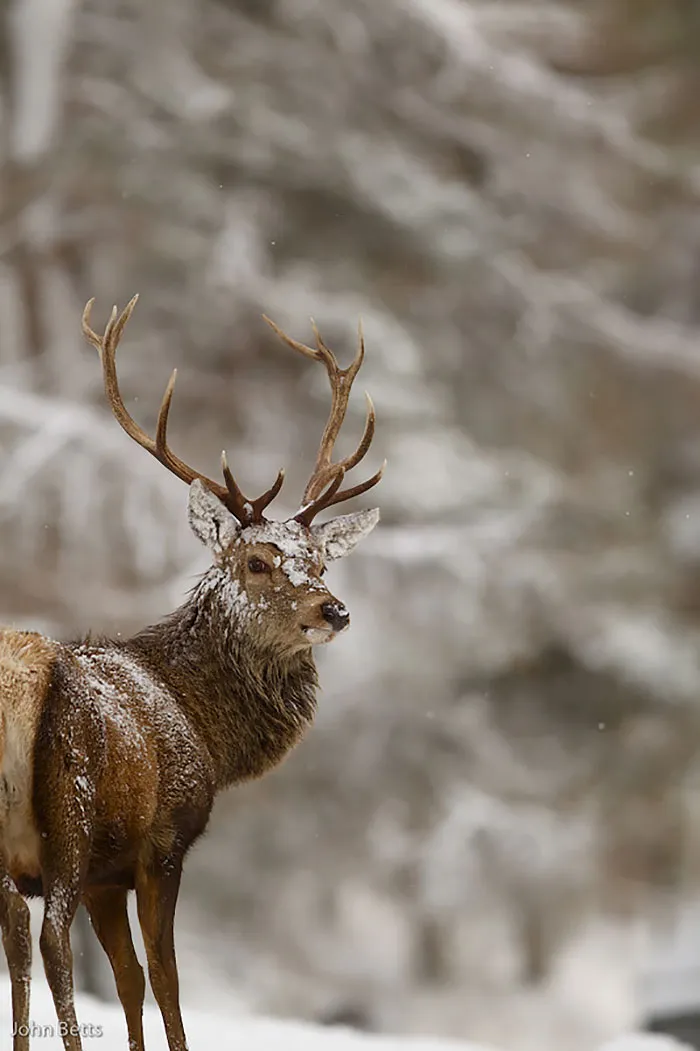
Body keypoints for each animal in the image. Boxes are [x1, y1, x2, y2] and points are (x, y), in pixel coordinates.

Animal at [0, 295, 383, 1051]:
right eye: (257, 561)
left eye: (322, 560)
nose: (335, 609)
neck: (205, 729)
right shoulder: (164, 839)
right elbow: (165, 978)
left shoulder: (107, 876)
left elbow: (127, 980)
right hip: (68, 814)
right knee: (52, 941)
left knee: (19, 947)